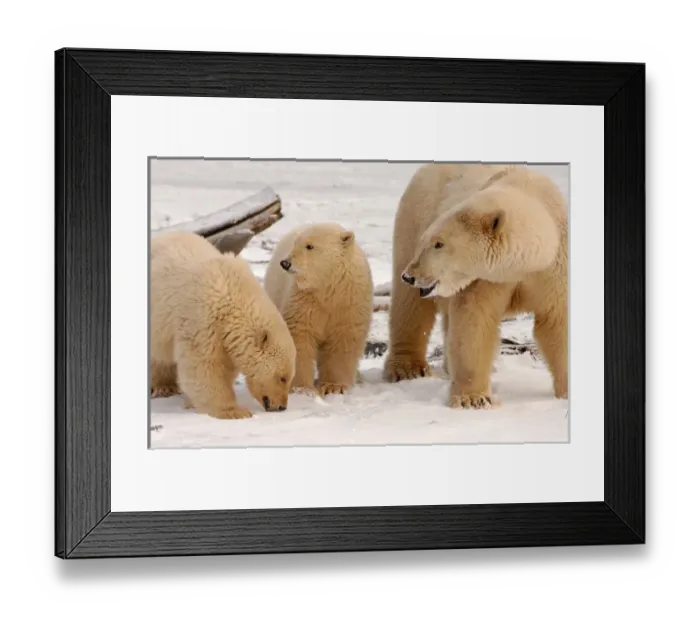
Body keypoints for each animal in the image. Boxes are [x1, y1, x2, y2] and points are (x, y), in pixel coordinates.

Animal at [150, 230, 296, 419]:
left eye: (288, 377)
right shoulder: (202, 319)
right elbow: (204, 366)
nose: (282, 406)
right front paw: (235, 411)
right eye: (282, 377)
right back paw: (163, 387)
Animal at [263, 222, 374, 397]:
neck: (328, 289)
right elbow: (300, 338)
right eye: (296, 243)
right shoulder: (304, 302)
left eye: (310, 246)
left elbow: (343, 341)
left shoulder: (349, 304)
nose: (285, 263)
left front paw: (333, 386)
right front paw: (302, 388)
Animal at [382, 163, 568, 409]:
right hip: (415, 215)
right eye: (429, 241)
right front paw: (473, 399)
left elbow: (556, 323)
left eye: (439, 244)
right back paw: (407, 369)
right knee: (410, 306)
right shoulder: (485, 279)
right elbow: (475, 321)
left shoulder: (554, 270)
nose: (410, 275)